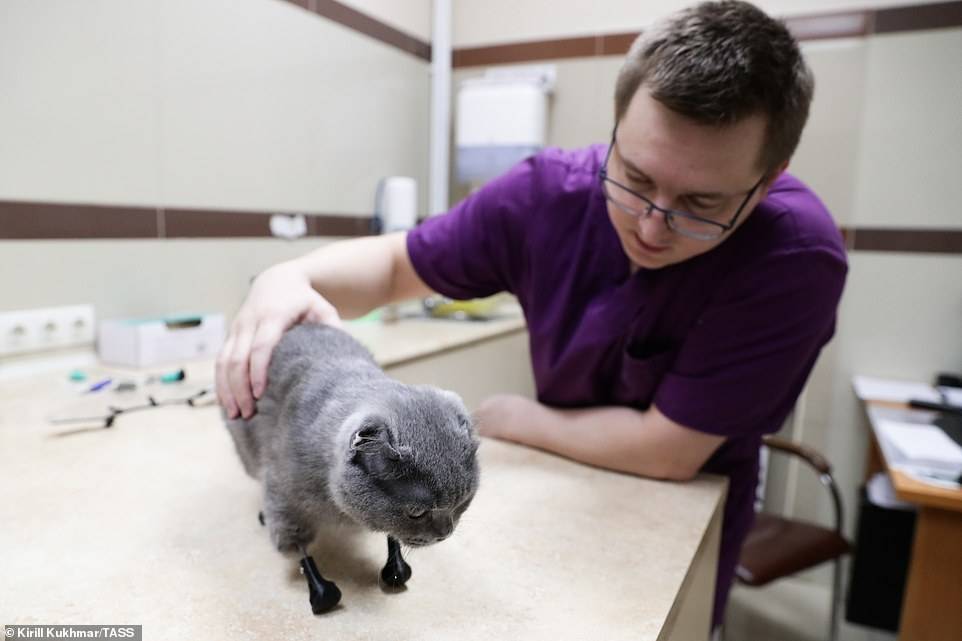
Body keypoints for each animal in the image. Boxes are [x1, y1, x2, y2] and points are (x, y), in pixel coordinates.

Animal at [225, 322, 480, 612]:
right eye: (416, 512)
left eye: (462, 502)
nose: (445, 533)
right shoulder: (284, 499)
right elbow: (299, 548)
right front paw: (321, 591)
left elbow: (390, 535)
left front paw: (395, 568)